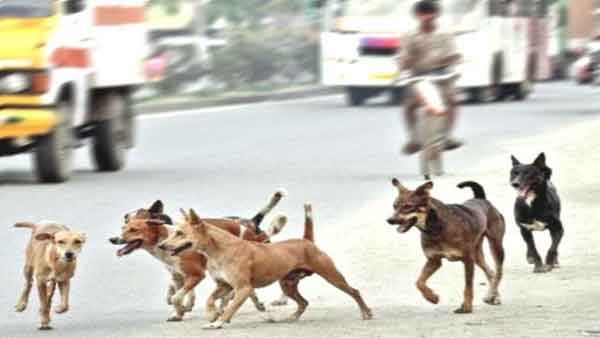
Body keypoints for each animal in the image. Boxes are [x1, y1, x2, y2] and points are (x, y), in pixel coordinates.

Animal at [110, 190, 288, 320]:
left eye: (134, 229)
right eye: (124, 226)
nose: (113, 239)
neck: (164, 238)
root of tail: (251, 223)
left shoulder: (196, 274)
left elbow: (176, 297)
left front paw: (183, 308)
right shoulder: (178, 276)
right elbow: (177, 295)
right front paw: (178, 313)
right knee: (246, 290)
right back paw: (249, 304)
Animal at [158, 205, 376, 328]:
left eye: (179, 233)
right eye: (173, 231)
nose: (162, 245)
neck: (219, 249)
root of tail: (306, 241)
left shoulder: (243, 288)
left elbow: (230, 307)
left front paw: (219, 322)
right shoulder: (224, 286)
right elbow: (210, 300)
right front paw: (212, 315)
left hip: (332, 275)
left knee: (354, 291)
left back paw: (366, 313)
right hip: (287, 285)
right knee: (303, 302)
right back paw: (292, 317)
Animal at [386, 180, 504, 314]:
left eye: (408, 206)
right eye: (394, 206)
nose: (389, 220)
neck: (436, 227)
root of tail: (481, 199)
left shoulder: (468, 260)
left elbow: (468, 286)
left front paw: (467, 306)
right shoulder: (434, 260)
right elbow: (419, 282)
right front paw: (432, 297)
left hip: (495, 246)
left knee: (498, 272)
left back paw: (492, 296)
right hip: (477, 254)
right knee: (491, 272)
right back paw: (493, 296)